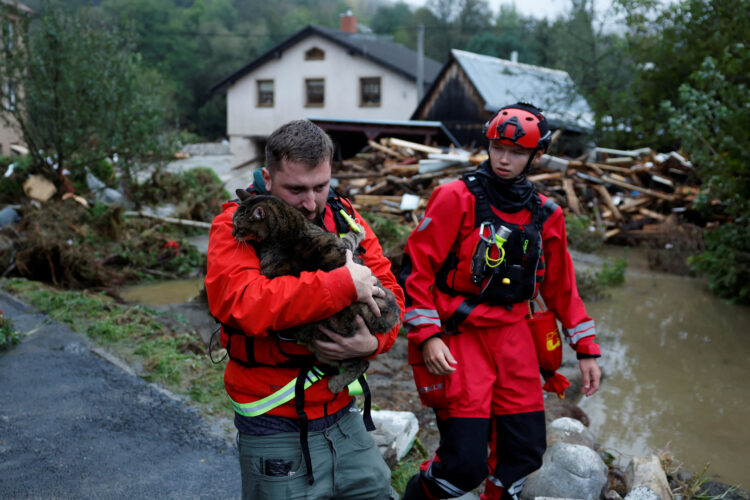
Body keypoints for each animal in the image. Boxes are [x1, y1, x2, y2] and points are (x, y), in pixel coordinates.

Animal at [232, 189, 402, 392]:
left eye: (238, 227)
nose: (233, 233)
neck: (285, 232)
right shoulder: (341, 246)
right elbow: (349, 239)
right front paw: (357, 231)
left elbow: (349, 239)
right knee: (362, 363)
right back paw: (336, 383)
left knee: (361, 363)